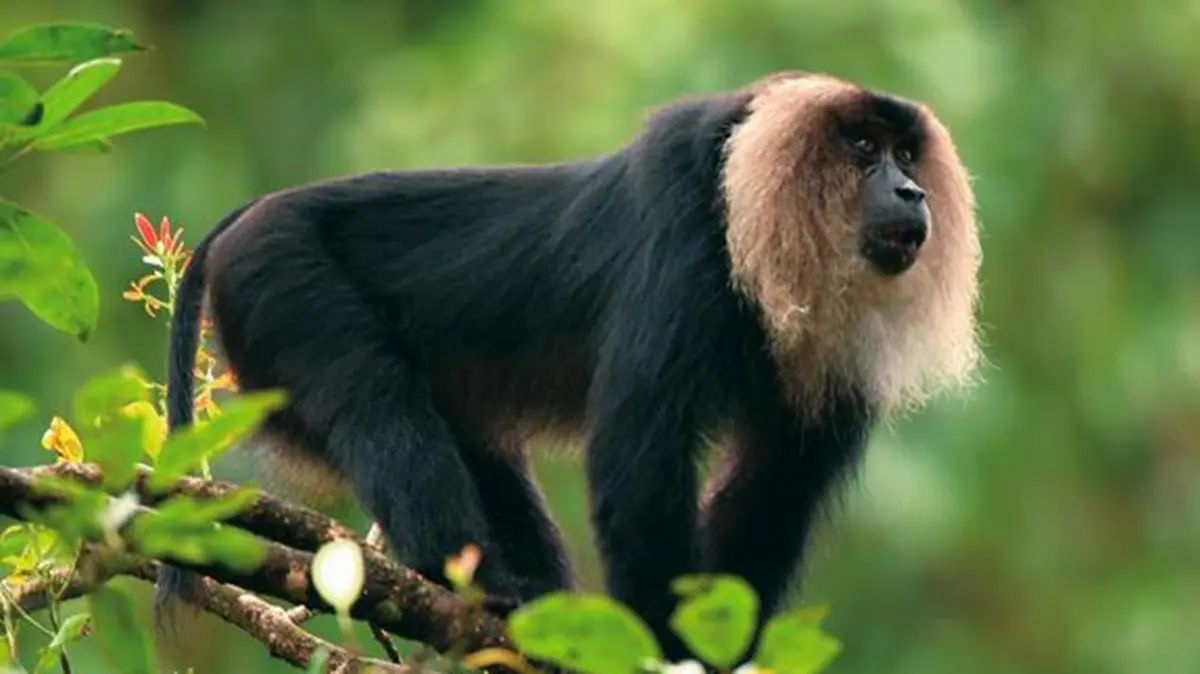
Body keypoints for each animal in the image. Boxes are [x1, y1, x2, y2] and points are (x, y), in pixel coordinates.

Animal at [154, 71, 981, 662]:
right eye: (863, 149)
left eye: (906, 154)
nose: (910, 190)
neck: (752, 224)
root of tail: (253, 214)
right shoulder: (684, 242)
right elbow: (638, 474)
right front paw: (668, 650)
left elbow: (772, 492)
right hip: (278, 278)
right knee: (374, 400)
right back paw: (475, 582)